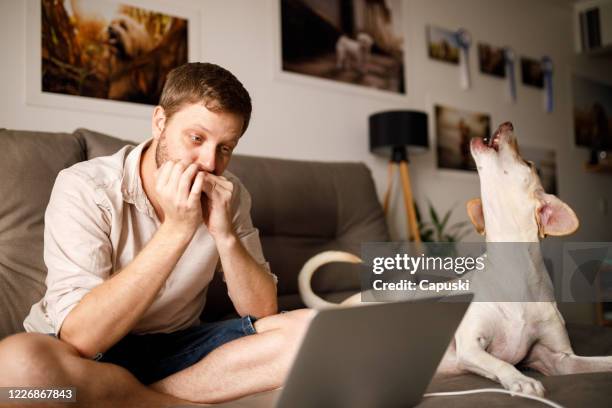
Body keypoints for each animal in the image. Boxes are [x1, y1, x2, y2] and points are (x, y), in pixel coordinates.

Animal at [300, 121, 612, 396]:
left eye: (528, 164)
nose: (507, 123)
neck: (514, 273)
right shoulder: (471, 346)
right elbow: (501, 364)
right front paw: (521, 380)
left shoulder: (559, 359)